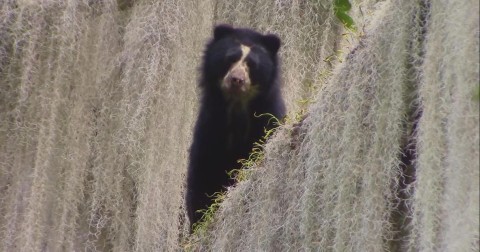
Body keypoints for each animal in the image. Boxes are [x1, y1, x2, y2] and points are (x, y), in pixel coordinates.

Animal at [186, 24, 284, 230]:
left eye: (252, 64)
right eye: (230, 58)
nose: (237, 79)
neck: (237, 107)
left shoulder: (269, 117)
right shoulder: (209, 127)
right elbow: (202, 174)